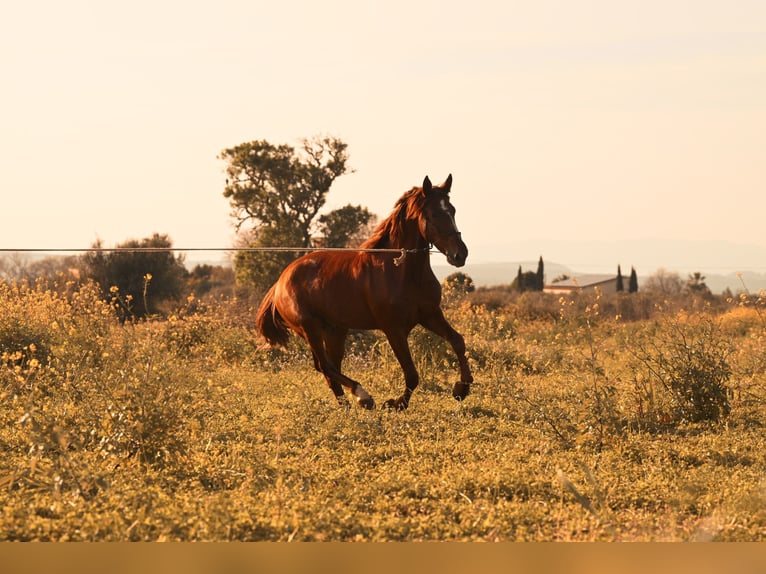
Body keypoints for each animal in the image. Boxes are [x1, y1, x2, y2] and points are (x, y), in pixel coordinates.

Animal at [255, 174, 474, 410]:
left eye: (452, 210)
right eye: (434, 214)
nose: (460, 254)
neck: (402, 272)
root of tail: (280, 282)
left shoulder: (430, 315)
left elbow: (458, 341)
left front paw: (462, 388)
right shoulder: (394, 329)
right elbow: (412, 374)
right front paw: (396, 404)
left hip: (335, 331)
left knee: (329, 368)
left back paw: (347, 405)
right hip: (309, 329)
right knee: (324, 365)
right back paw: (363, 396)